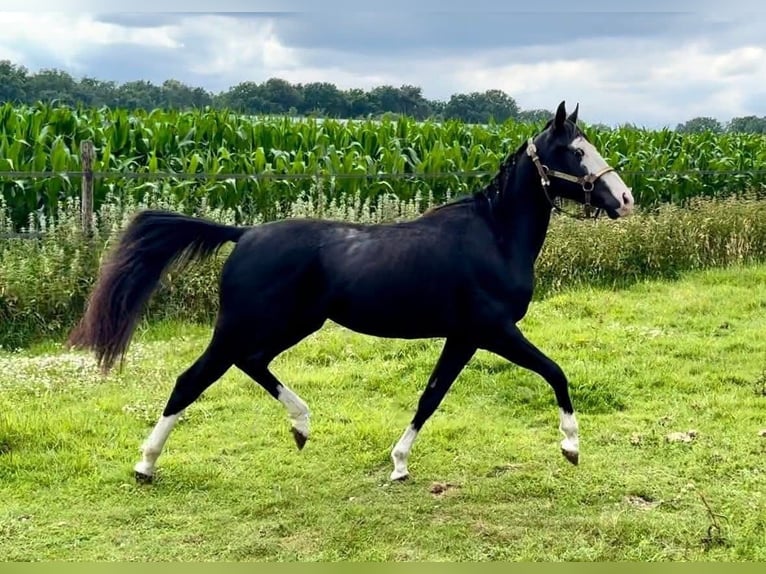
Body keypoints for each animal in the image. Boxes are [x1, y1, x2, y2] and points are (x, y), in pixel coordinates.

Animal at [68, 101, 635, 484]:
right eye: (574, 151)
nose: (625, 198)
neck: (494, 235)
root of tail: (244, 234)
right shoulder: (494, 330)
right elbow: (555, 372)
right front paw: (571, 447)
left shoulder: (464, 336)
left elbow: (431, 396)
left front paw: (399, 464)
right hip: (243, 326)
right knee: (192, 379)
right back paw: (146, 464)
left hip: (293, 324)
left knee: (252, 363)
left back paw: (301, 426)